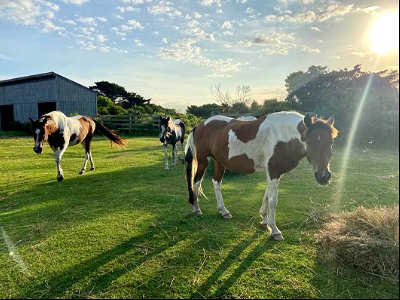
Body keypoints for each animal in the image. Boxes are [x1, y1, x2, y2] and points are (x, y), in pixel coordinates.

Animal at [184, 111, 338, 240]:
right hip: (203, 161)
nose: (323, 176)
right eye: (309, 142)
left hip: (219, 162)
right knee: (196, 182)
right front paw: (274, 230)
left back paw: (223, 211)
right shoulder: (273, 171)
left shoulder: (274, 173)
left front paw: (264, 219)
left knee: (216, 182)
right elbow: (273, 200)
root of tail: (200, 125)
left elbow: (266, 195)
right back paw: (196, 209)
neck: (283, 135)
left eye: (331, 142)